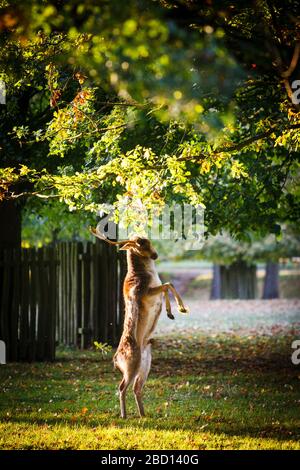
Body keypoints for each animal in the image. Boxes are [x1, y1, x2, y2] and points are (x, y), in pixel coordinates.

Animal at [89, 227, 188, 418]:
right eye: (140, 244)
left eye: (148, 240)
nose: (155, 255)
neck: (148, 274)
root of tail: (115, 360)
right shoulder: (144, 292)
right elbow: (167, 284)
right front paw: (181, 309)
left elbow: (167, 285)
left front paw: (171, 313)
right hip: (131, 365)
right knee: (121, 387)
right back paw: (124, 415)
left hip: (145, 364)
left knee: (136, 387)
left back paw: (143, 414)